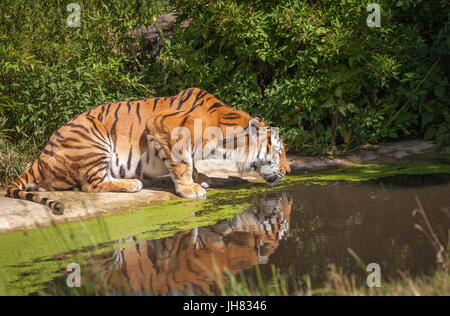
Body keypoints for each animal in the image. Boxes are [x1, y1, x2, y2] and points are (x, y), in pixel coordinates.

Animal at [6, 87, 292, 214]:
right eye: (279, 152)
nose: (289, 171)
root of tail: (37, 159)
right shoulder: (165, 127)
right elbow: (182, 163)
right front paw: (190, 189)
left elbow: (192, 163)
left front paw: (201, 179)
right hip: (93, 136)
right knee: (91, 184)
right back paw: (131, 183)